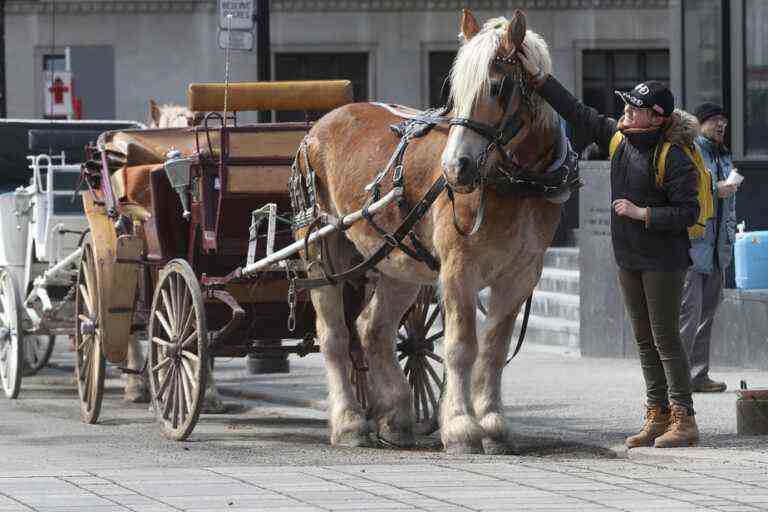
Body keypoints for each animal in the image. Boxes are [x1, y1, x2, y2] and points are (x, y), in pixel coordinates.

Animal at [296, 10, 564, 454]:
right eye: (454, 90)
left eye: (498, 87)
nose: (456, 167)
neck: (514, 185)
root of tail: (320, 125)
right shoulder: (458, 269)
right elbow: (461, 346)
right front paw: (460, 426)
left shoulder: (521, 275)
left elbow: (494, 348)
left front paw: (493, 424)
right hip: (321, 247)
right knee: (334, 333)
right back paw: (349, 422)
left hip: (397, 261)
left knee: (374, 329)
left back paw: (396, 416)